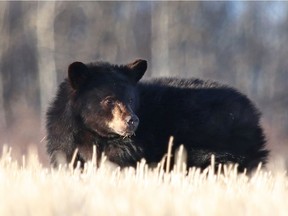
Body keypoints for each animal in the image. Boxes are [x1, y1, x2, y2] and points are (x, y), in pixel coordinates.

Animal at [46, 59, 268, 172]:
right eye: (109, 100)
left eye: (131, 99)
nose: (132, 121)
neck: (92, 135)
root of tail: (253, 114)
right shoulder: (64, 142)